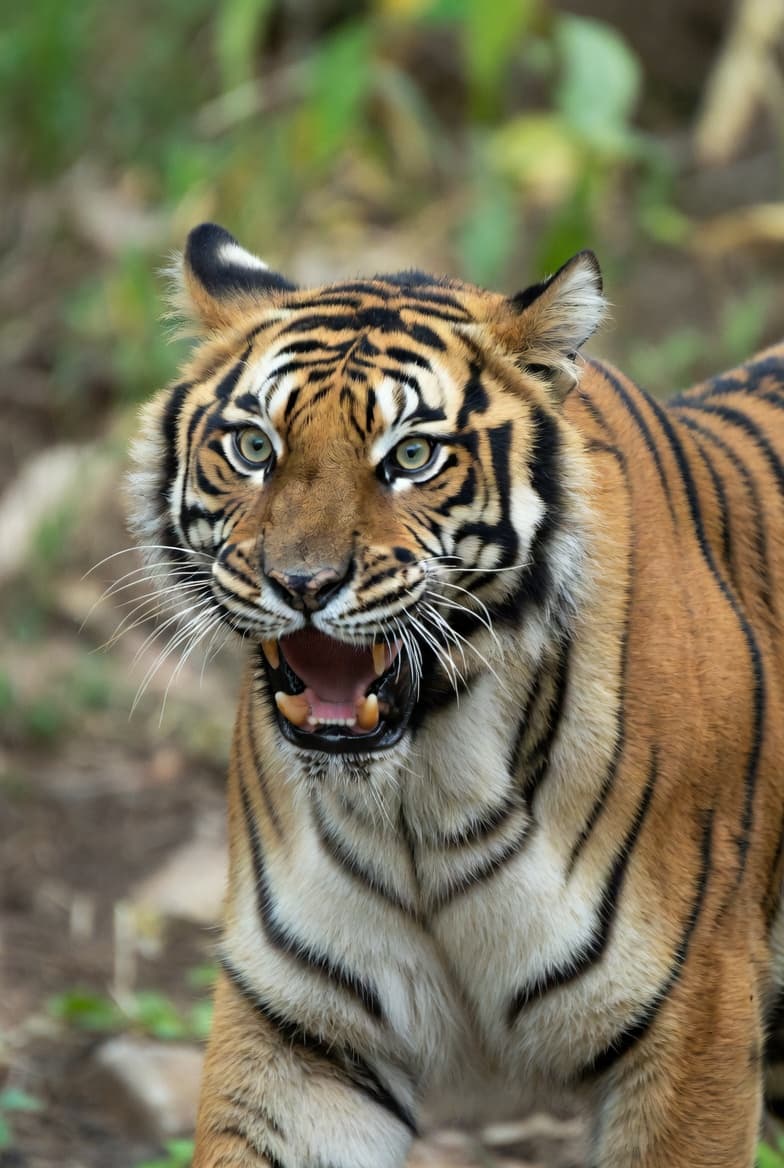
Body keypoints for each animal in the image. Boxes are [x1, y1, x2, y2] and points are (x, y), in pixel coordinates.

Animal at [128, 221, 784, 1168]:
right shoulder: (305, 1031)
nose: (302, 583)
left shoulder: (694, 1015)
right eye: (254, 448)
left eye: (412, 456)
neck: (423, 788)